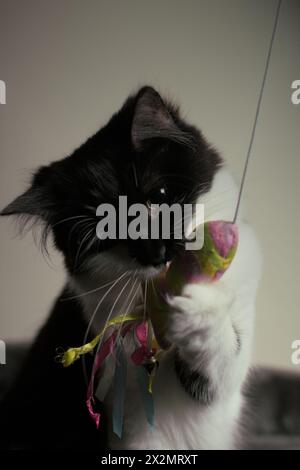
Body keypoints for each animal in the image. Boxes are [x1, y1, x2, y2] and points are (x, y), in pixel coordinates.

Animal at [0, 86, 260, 450]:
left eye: (159, 196)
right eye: (107, 231)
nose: (157, 252)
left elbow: (223, 357)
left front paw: (196, 311)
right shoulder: (138, 428)